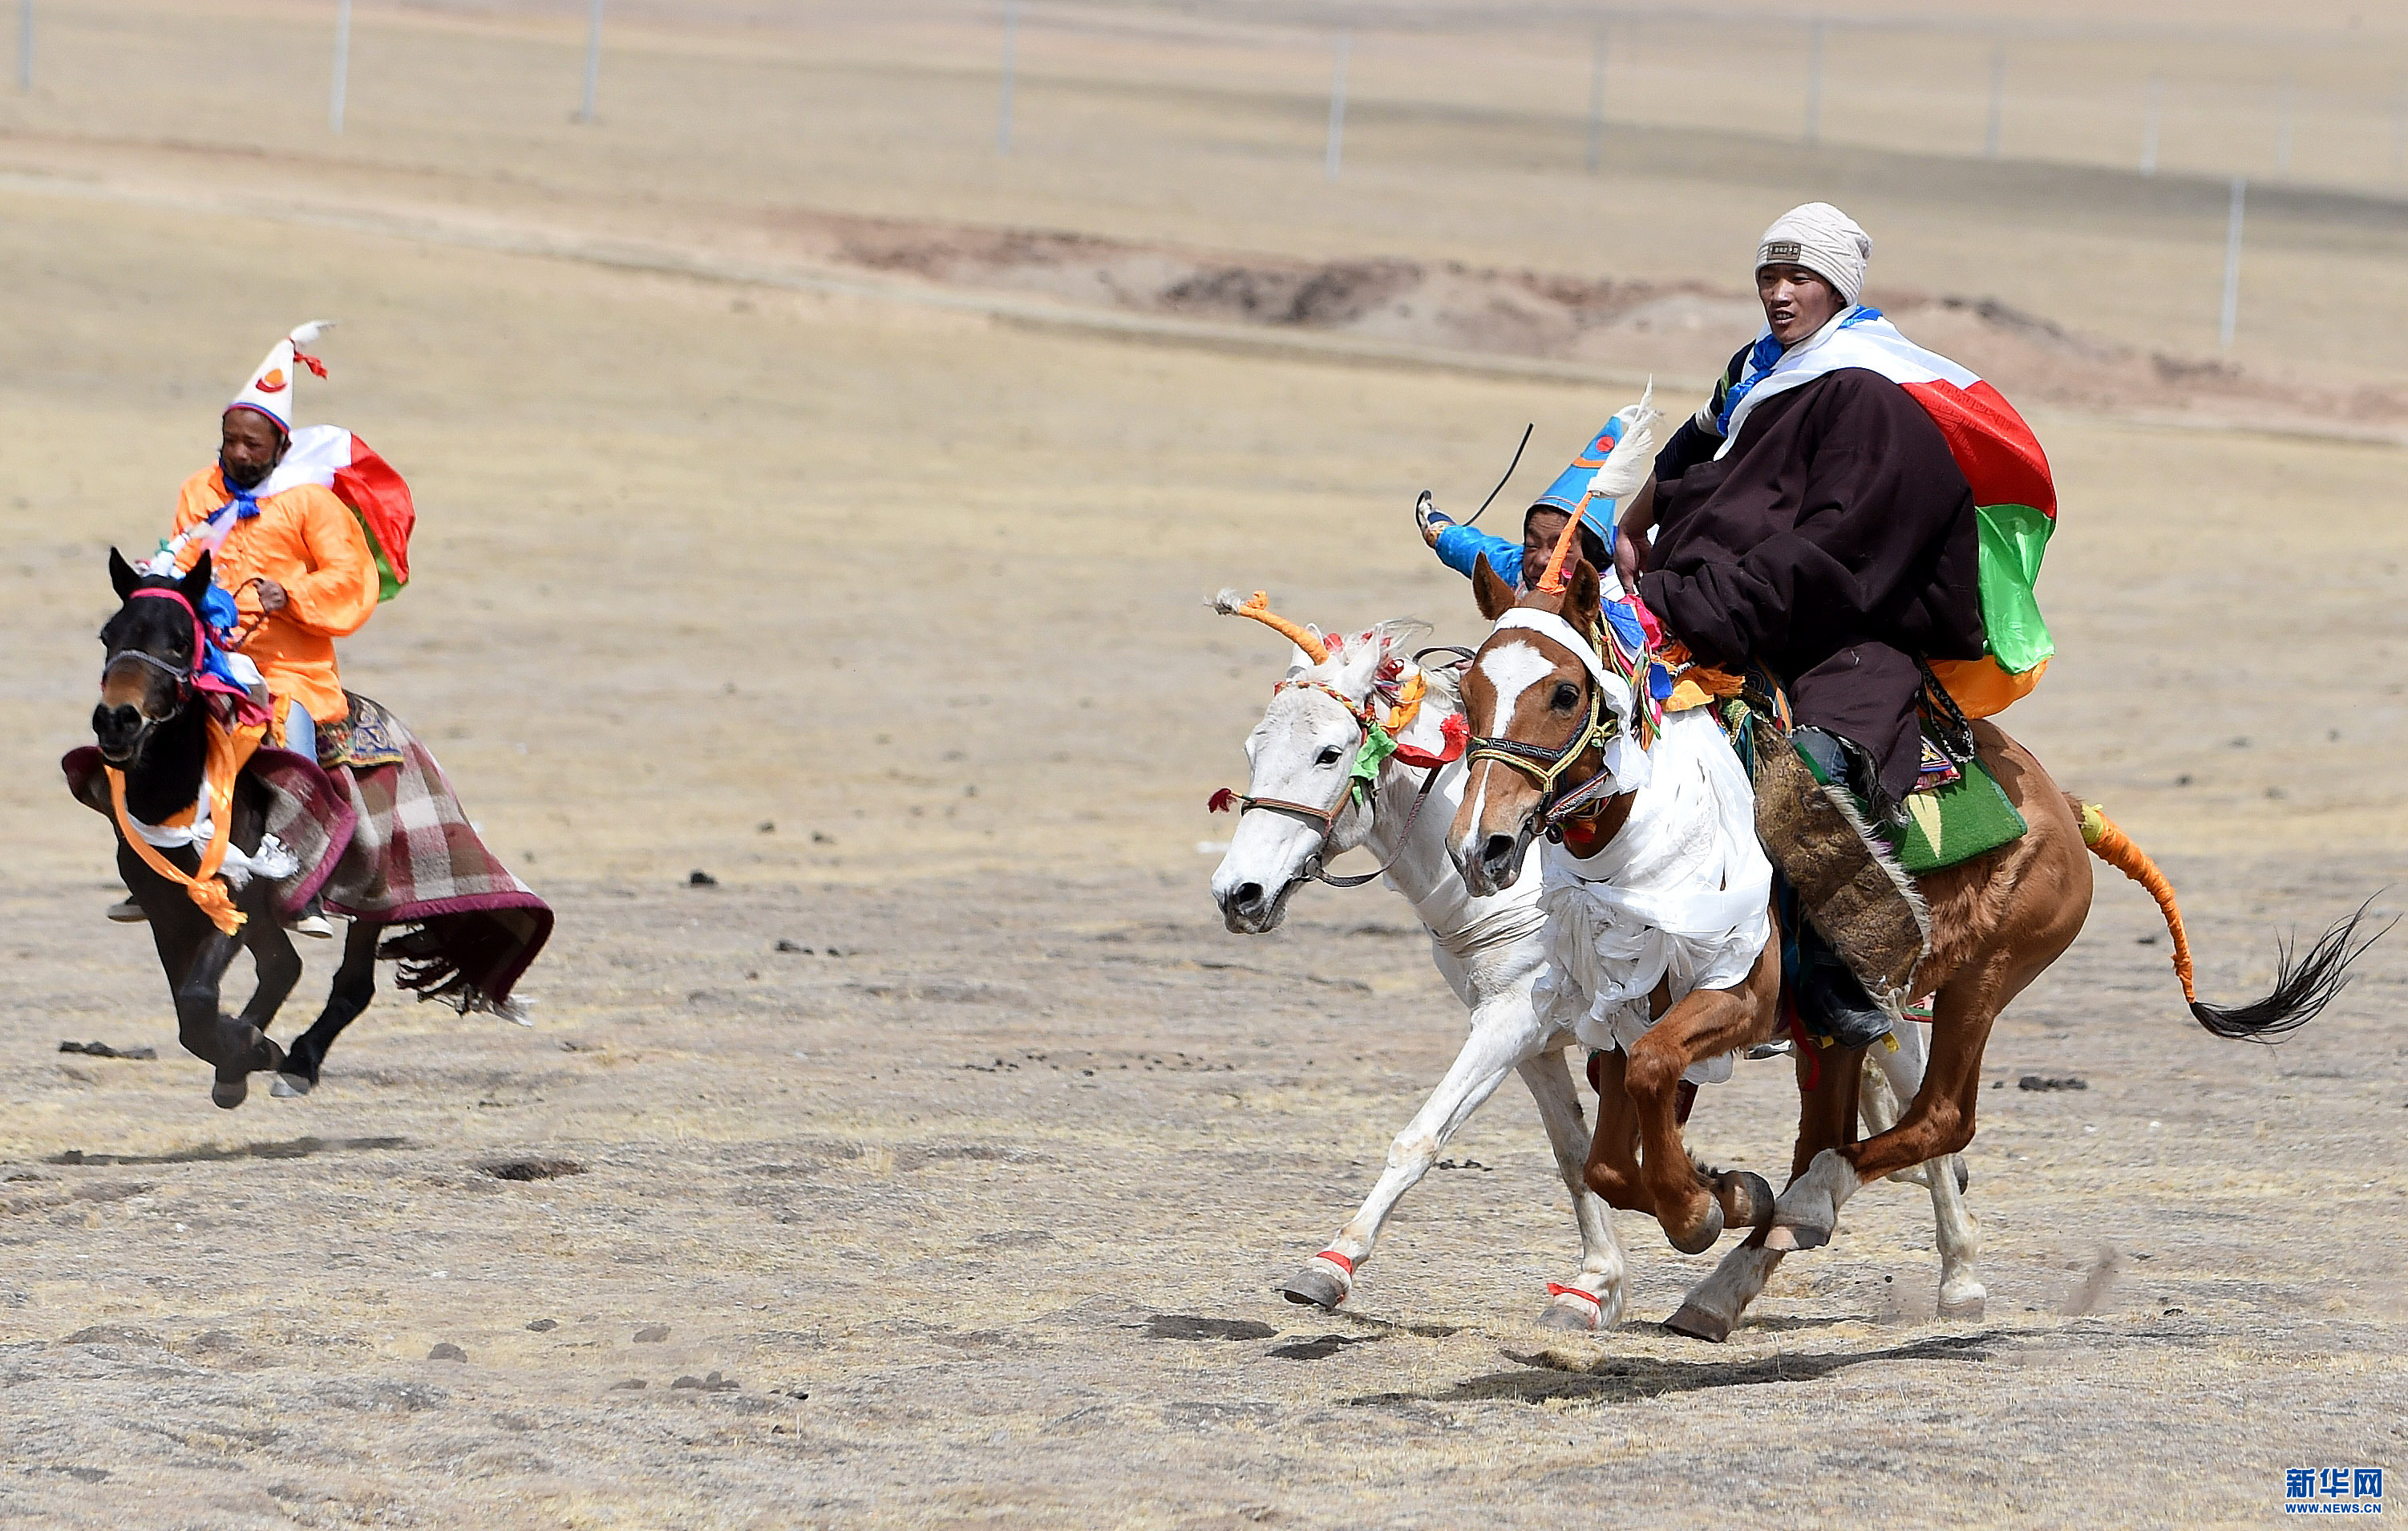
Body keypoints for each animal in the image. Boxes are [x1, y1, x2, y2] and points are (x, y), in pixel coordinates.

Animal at [1213, 597, 1984, 1338]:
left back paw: (1959, 1279)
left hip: (1883, 1009)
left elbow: (1422, 1135)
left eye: (1329, 752)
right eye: (1251, 749)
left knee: (1928, 1113)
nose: (1237, 892)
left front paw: (1330, 1264)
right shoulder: (1530, 1040)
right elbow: (1575, 1156)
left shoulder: (1510, 1020)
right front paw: (1595, 1286)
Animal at [1444, 556, 2369, 1338]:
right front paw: (1720, 1193)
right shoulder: (1625, 1006)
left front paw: (1708, 1203)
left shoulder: (1738, 997)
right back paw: (1732, 1278)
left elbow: (1648, 1080)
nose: (1481, 845)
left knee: (1938, 1119)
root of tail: (2064, 806)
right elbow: (1608, 1155)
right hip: (1836, 1028)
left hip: (1981, 980)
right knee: (1830, 1132)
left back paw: (1806, 1208)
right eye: (1469, 692)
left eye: (1566, 692)